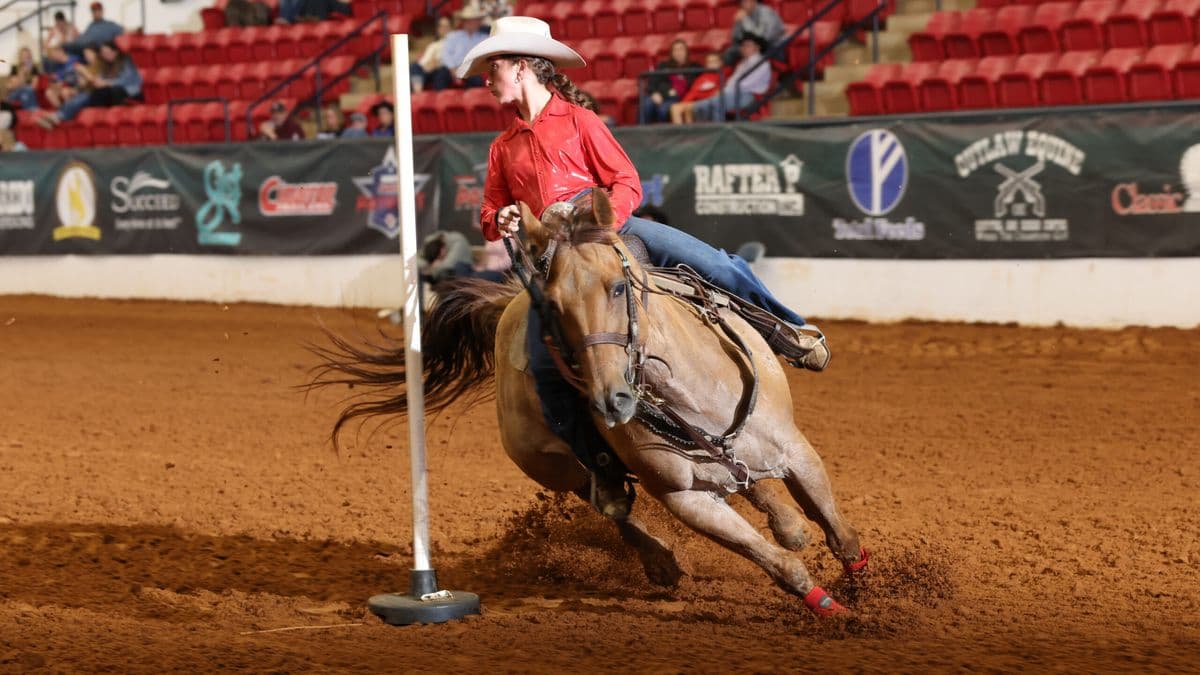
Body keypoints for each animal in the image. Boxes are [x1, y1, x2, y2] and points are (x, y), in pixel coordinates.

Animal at [310, 189, 868, 616]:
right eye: (555, 307)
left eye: (619, 287)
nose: (611, 400)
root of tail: (504, 303)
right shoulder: (685, 500)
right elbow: (775, 561)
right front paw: (834, 609)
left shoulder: (797, 451)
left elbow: (837, 532)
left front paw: (861, 588)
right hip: (549, 464)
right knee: (610, 504)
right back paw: (660, 560)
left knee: (748, 484)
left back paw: (785, 512)